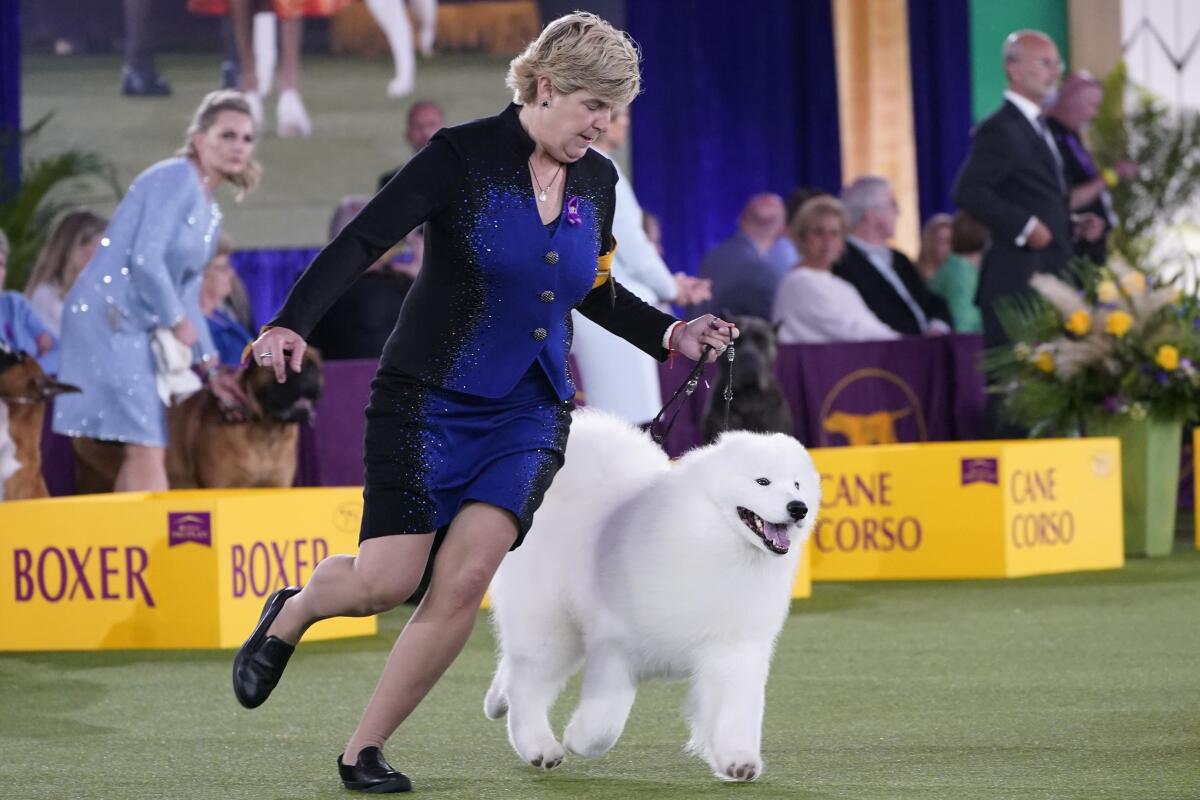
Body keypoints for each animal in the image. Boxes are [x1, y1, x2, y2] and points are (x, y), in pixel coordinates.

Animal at [482, 410, 820, 786]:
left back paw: (498, 703)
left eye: (797, 484)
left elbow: (736, 711)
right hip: (551, 624)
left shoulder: (735, 647)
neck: (714, 540)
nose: (799, 508)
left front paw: (738, 761)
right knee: (527, 685)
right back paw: (540, 748)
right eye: (762, 481)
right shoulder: (616, 644)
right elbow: (605, 722)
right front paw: (578, 740)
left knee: (515, 670)